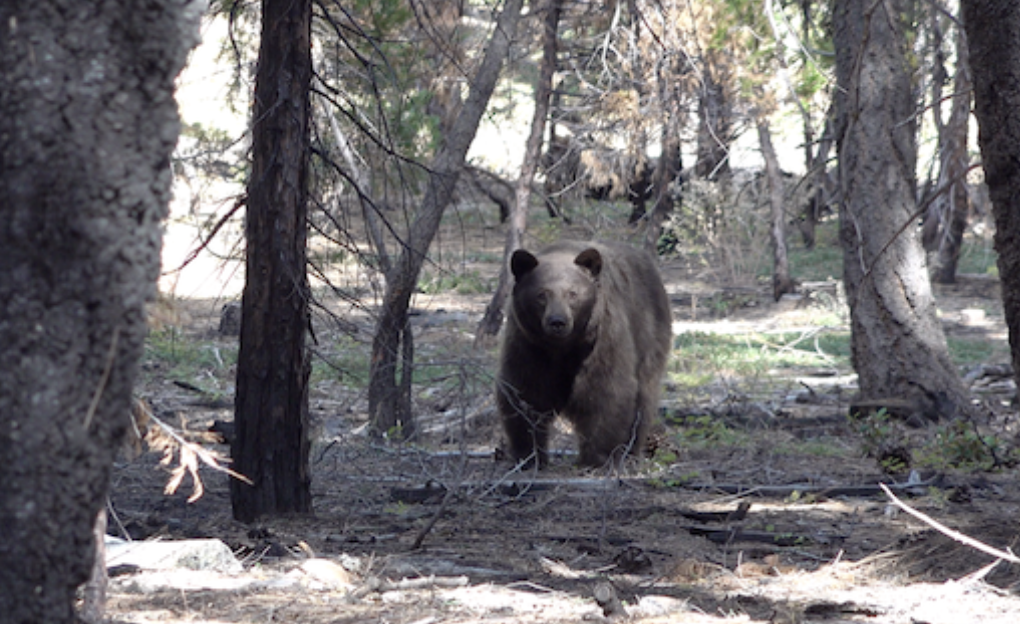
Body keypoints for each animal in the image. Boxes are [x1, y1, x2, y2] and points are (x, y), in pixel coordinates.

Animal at [495, 238, 673, 469]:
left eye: (572, 293)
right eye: (542, 294)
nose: (557, 321)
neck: (563, 347)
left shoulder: (601, 337)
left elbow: (605, 389)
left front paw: (597, 458)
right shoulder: (529, 344)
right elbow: (526, 391)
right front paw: (528, 455)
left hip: (649, 332)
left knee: (644, 396)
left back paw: (632, 451)